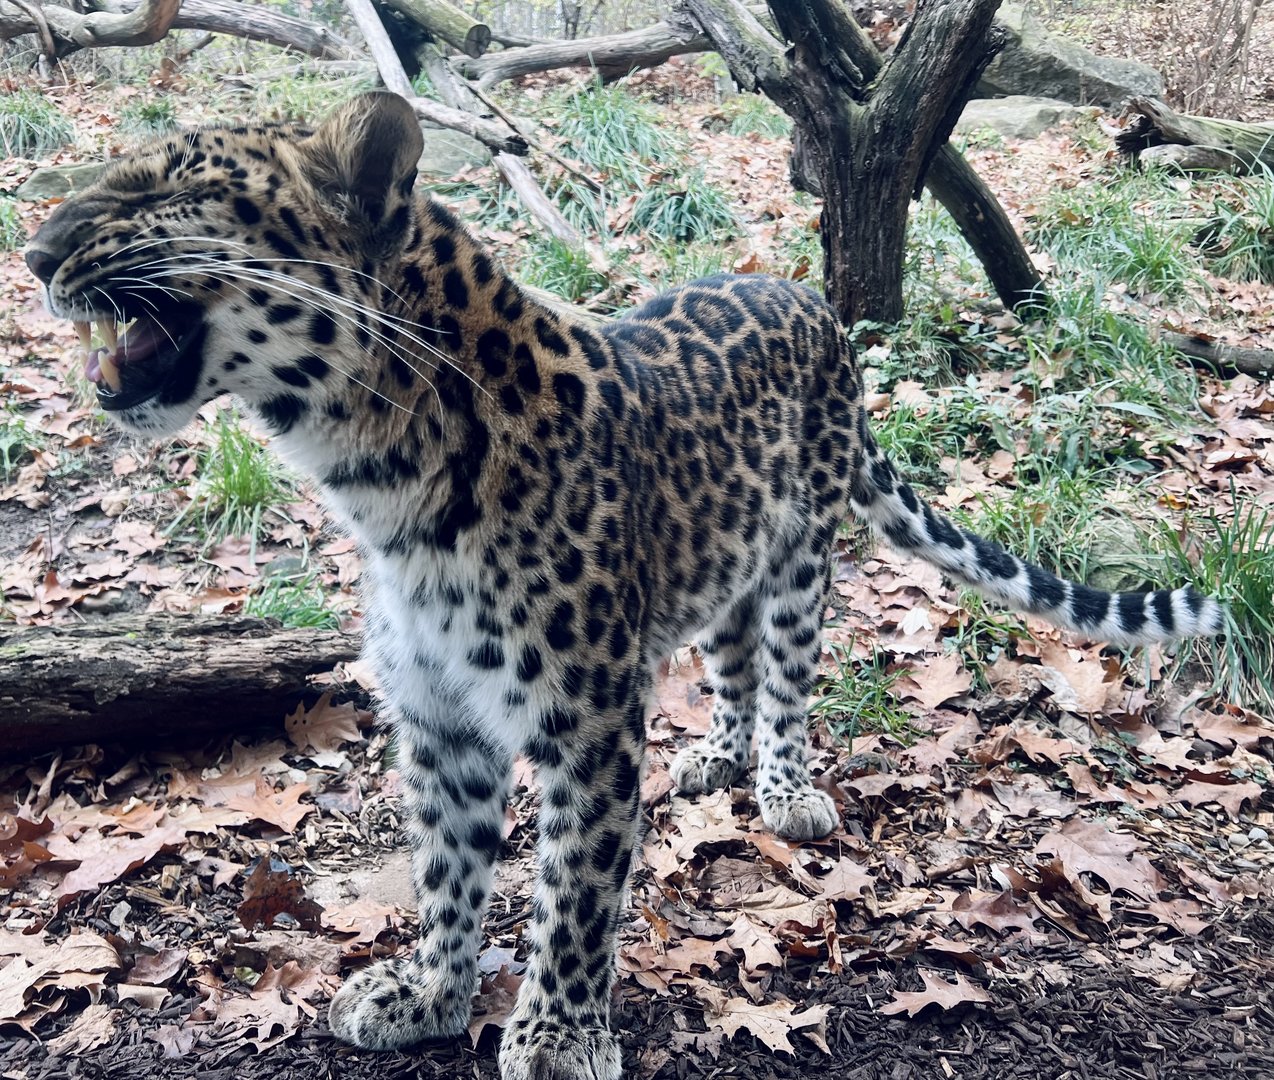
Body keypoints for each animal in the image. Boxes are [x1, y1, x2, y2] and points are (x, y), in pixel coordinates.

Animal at [25, 92, 1224, 1080]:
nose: (33, 252)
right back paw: (713, 757)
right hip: (724, 560)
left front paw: (556, 1035)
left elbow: (577, 885)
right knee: (732, 663)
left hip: (802, 557)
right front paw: (428, 995)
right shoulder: (435, 714)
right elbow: (445, 870)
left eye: (169, 191)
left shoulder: (586, 715)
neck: (380, 478)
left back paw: (782, 789)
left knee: (789, 683)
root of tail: (813, 303)